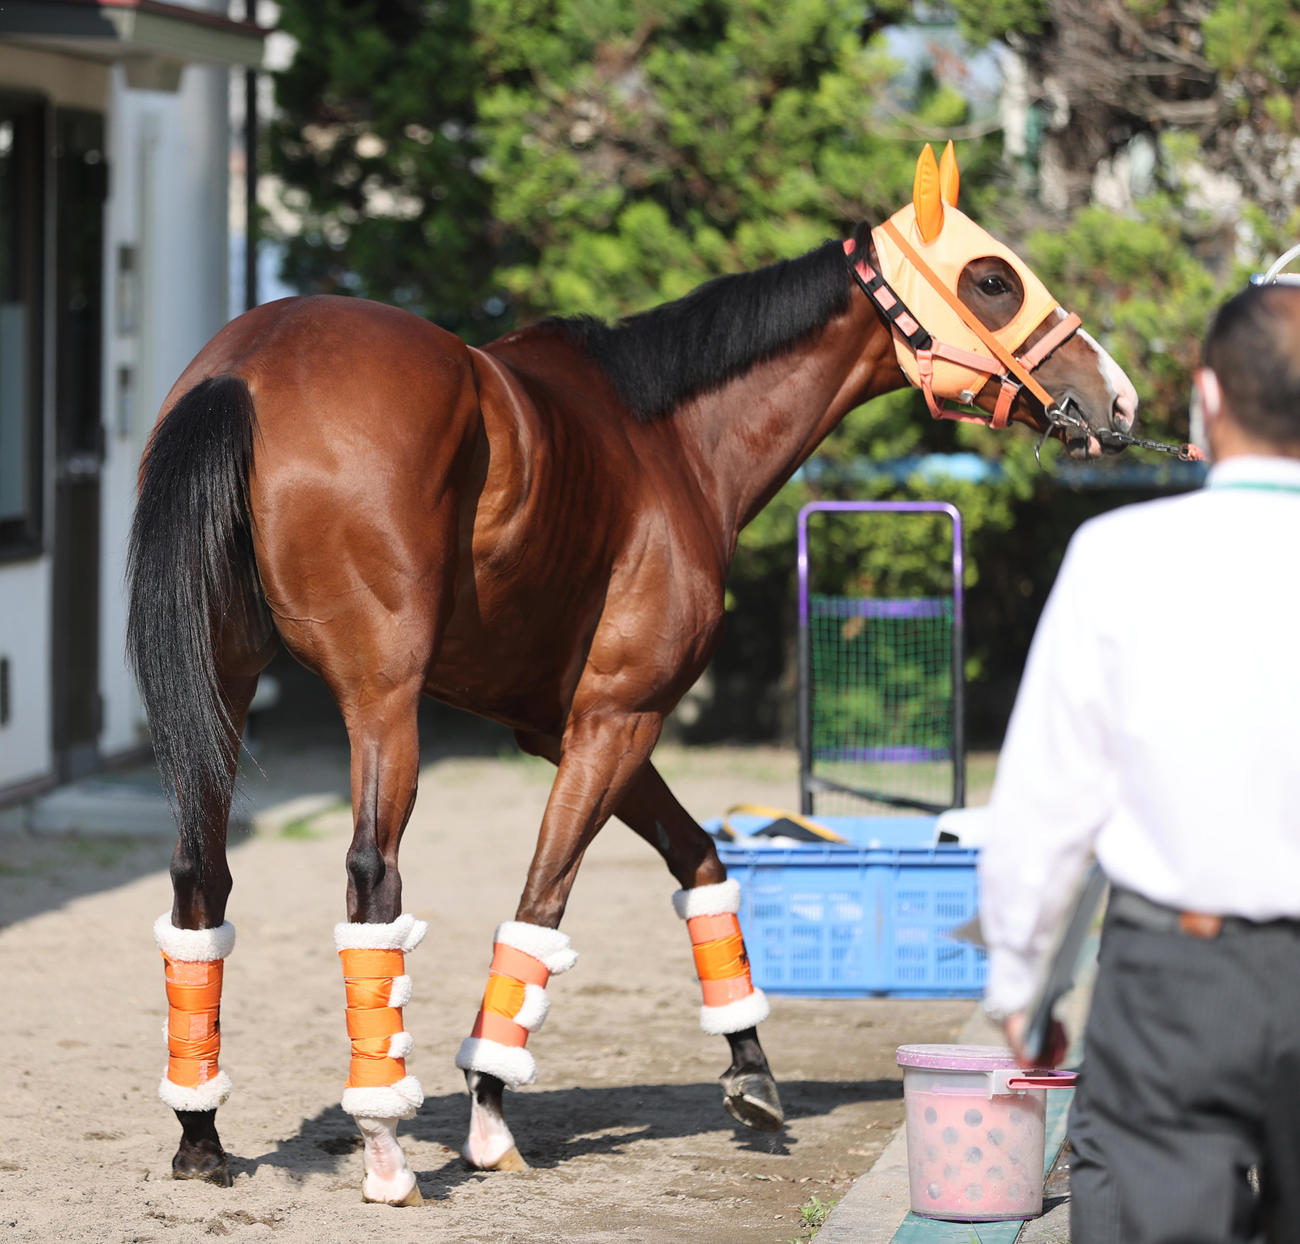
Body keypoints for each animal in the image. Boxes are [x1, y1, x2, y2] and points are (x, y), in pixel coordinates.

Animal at [126, 142, 1138, 1204]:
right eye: (993, 280)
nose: (1114, 399)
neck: (667, 440)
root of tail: (248, 368)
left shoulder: (581, 726)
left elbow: (700, 860)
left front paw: (750, 1072)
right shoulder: (619, 716)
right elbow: (544, 903)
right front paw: (490, 1112)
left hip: (225, 687)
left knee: (199, 880)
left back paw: (200, 1133)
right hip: (381, 701)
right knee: (371, 880)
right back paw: (386, 1147)